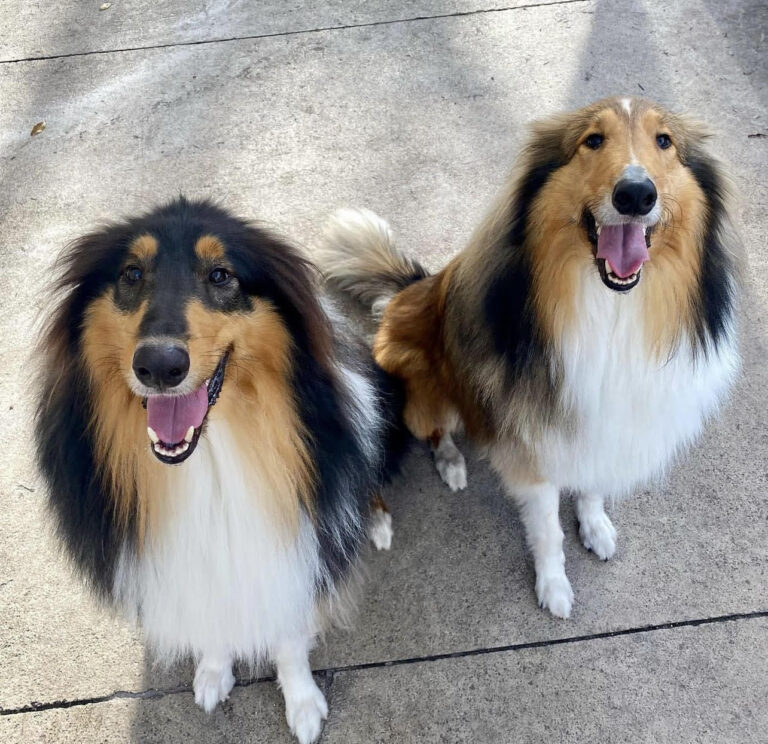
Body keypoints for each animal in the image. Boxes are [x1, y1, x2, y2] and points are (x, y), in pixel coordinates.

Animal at [36, 198, 408, 744]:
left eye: (220, 275)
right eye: (131, 273)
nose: (159, 365)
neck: (208, 459)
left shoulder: (294, 551)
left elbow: (288, 639)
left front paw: (303, 703)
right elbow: (210, 621)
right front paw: (213, 673)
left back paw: (376, 521)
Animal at [318, 100, 736, 620]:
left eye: (665, 141)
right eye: (592, 140)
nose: (636, 195)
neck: (612, 309)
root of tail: (411, 287)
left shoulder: (601, 423)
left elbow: (592, 485)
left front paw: (595, 525)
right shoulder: (531, 451)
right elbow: (548, 532)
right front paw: (553, 585)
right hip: (427, 396)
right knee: (436, 433)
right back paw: (452, 464)